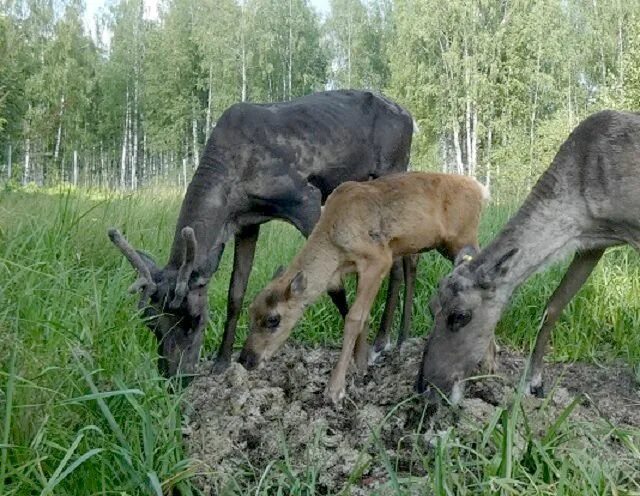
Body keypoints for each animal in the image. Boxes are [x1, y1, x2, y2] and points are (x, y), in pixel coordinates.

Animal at [239, 170, 484, 404]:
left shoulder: (378, 258)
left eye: (273, 319)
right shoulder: (358, 268)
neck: (334, 243)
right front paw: (360, 367)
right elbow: (364, 316)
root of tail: (482, 190)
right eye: (250, 312)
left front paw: (335, 389)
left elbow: (354, 317)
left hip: (463, 236)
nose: (246, 359)